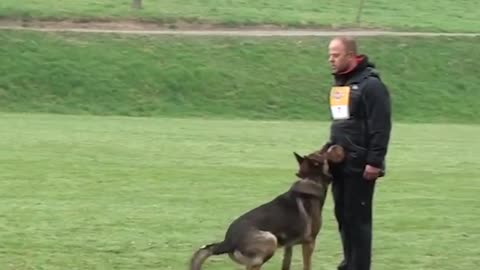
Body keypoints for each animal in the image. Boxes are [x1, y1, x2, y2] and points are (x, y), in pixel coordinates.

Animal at [189, 144, 344, 270]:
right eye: (321, 152)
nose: (329, 144)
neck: (311, 179)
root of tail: (227, 242)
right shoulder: (309, 242)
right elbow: (307, 266)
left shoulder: (289, 246)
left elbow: (286, 265)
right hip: (270, 240)